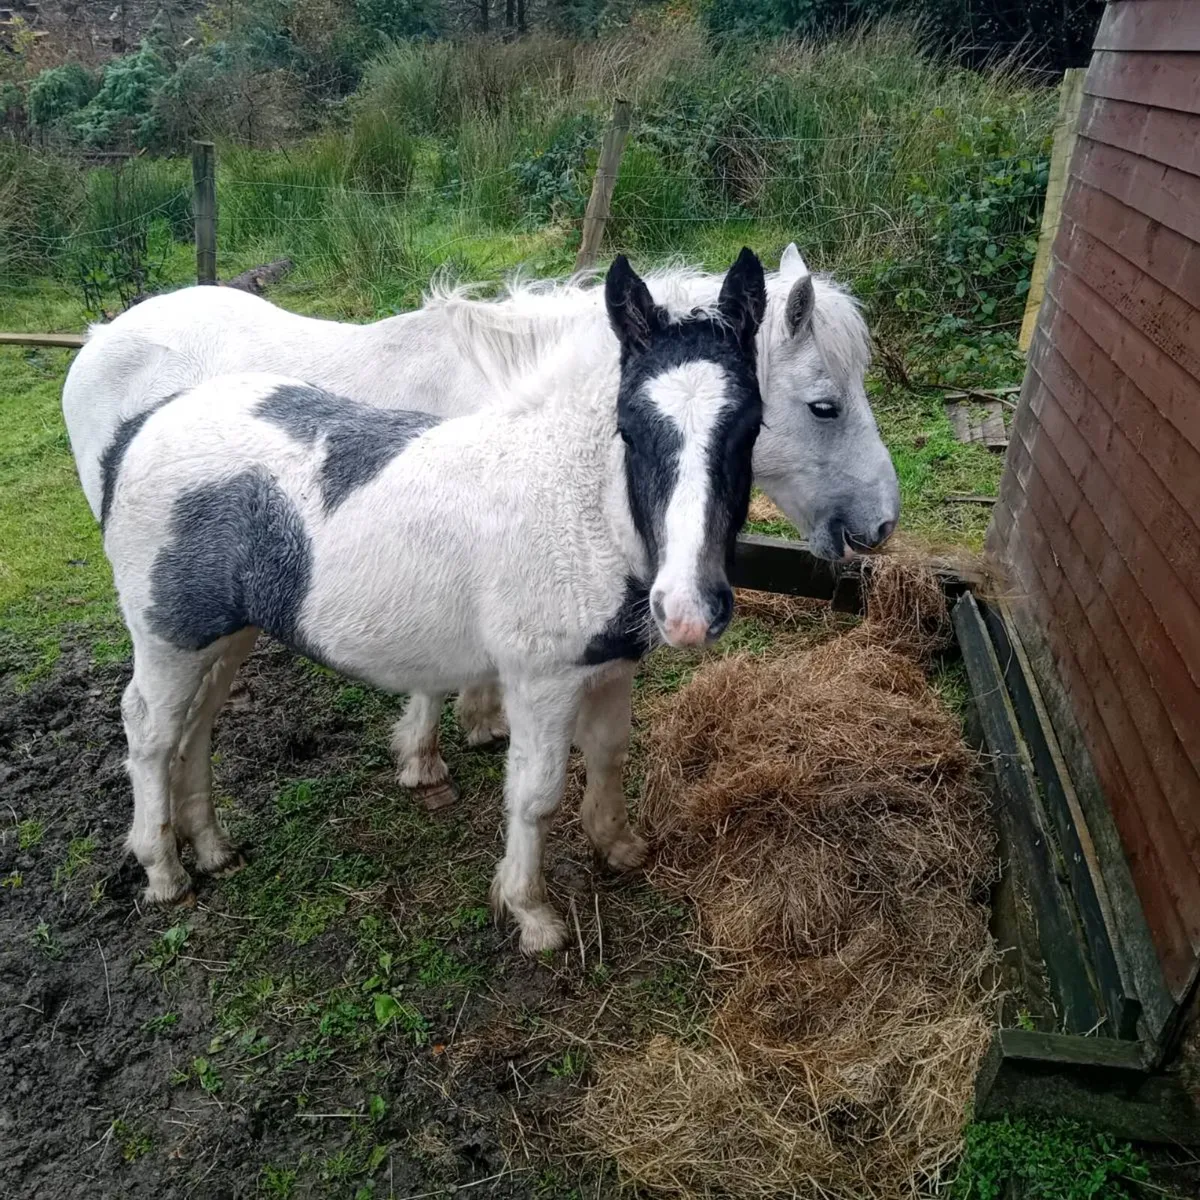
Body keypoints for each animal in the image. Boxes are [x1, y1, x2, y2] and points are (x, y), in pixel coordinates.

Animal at [100, 251, 767, 953]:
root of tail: (140, 429)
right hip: (169, 635)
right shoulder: (540, 681)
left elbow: (609, 753)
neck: (570, 497)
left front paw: (618, 846)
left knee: (197, 724)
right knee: (149, 731)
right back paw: (164, 870)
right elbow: (535, 795)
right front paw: (531, 913)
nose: (688, 611)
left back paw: (211, 847)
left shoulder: (610, 667)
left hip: (226, 634)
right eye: (629, 430)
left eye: (750, 426)